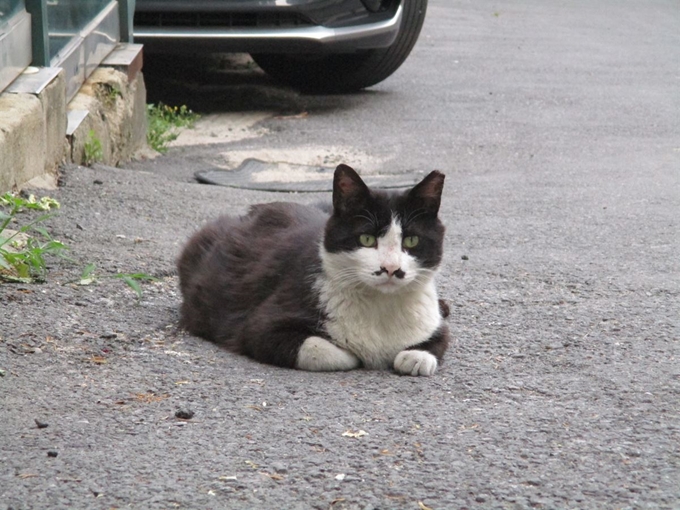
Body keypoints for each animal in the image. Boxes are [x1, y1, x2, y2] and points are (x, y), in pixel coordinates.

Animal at [178, 165, 448, 376]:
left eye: (411, 240)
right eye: (367, 239)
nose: (390, 268)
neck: (380, 307)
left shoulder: (433, 323)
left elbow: (437, 342)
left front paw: (416, 356)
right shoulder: (260, 327)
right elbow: (329, 351)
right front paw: (358, 352)